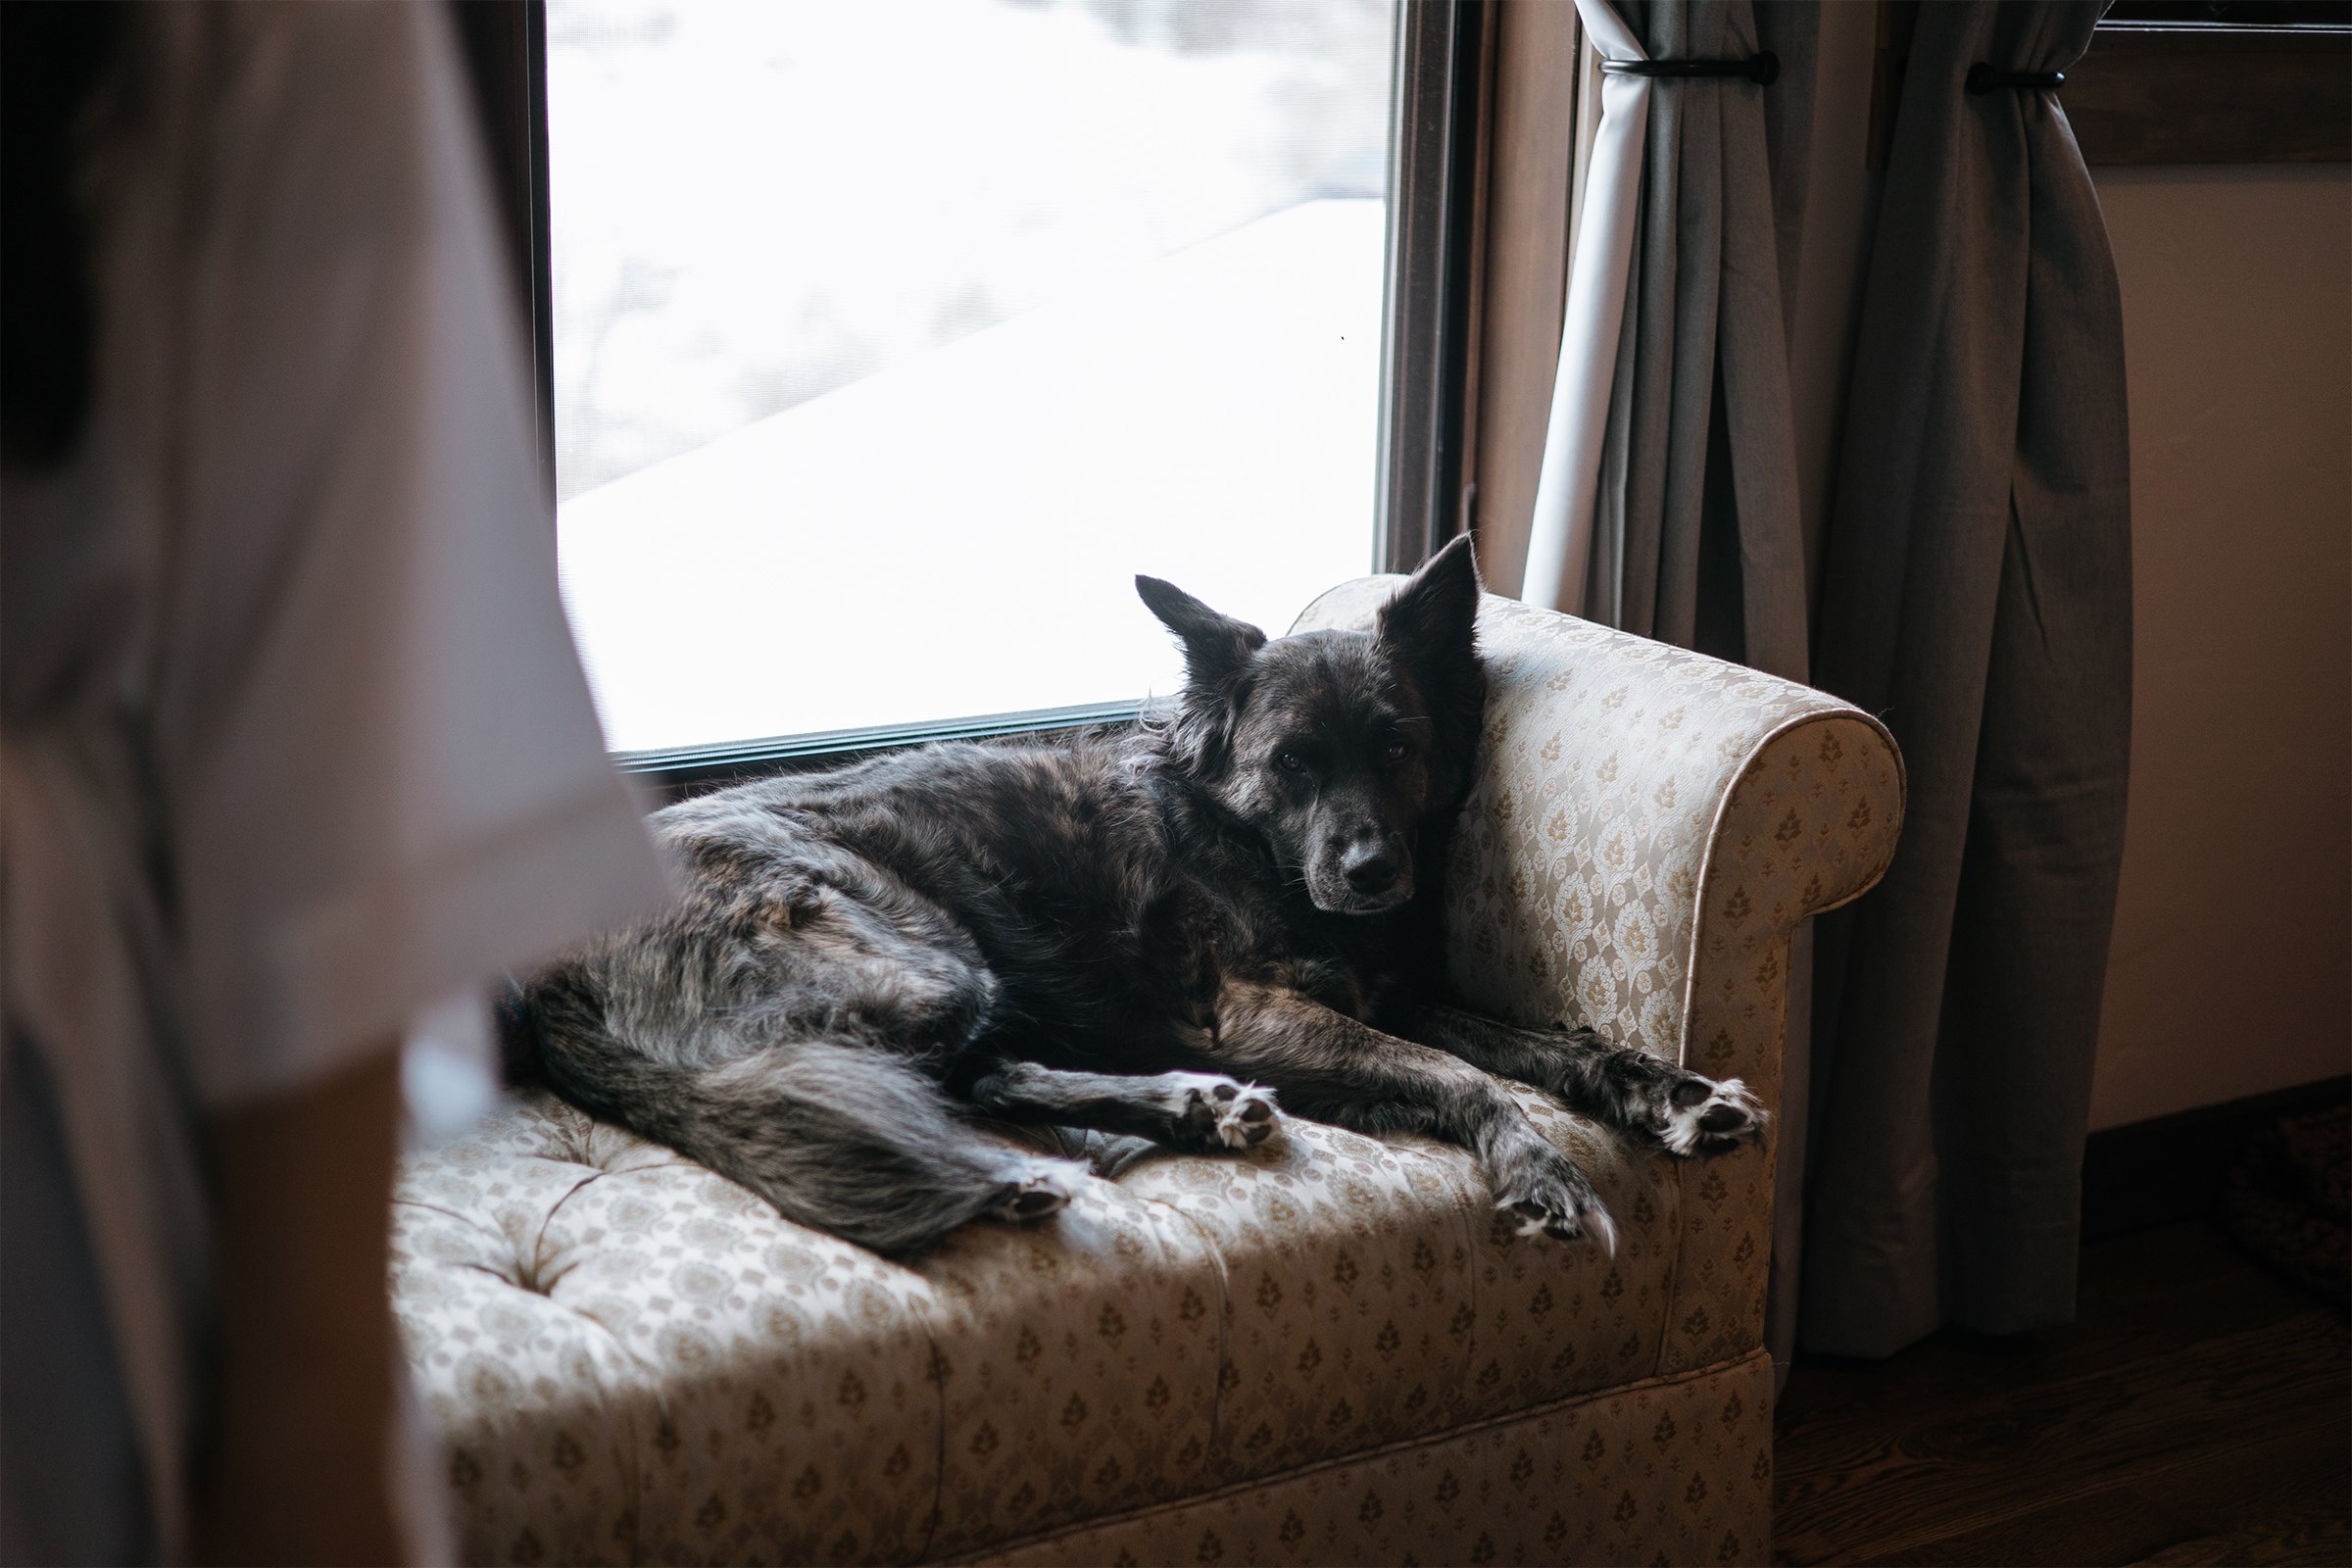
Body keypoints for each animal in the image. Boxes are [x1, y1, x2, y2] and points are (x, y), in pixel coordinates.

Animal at [514, 545, 1768, 1259]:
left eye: (1398, 747)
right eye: (1293, 762)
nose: (1373, 872)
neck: (1251, 846)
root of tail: (539, 972)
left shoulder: (1388, 992)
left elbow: (1547, 1042)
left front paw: (1668, 1091)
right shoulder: (1260, 1013)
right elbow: (1467, 1078)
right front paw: (1541, 1169)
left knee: (988, 1071)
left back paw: (1184, 1109)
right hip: (926, 955)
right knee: (958, 1076)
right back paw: (1074, 1148)